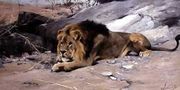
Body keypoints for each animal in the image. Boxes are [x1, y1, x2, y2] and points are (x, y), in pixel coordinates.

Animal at [51, 20, 180, 71]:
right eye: (61, 43)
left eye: (70, 44)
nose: (62, 51)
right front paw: (58, 61)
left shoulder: (86, 60)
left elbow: (70, 63)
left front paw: (57, 66)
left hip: (133, 37)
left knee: (149, 50)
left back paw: (144, 53)